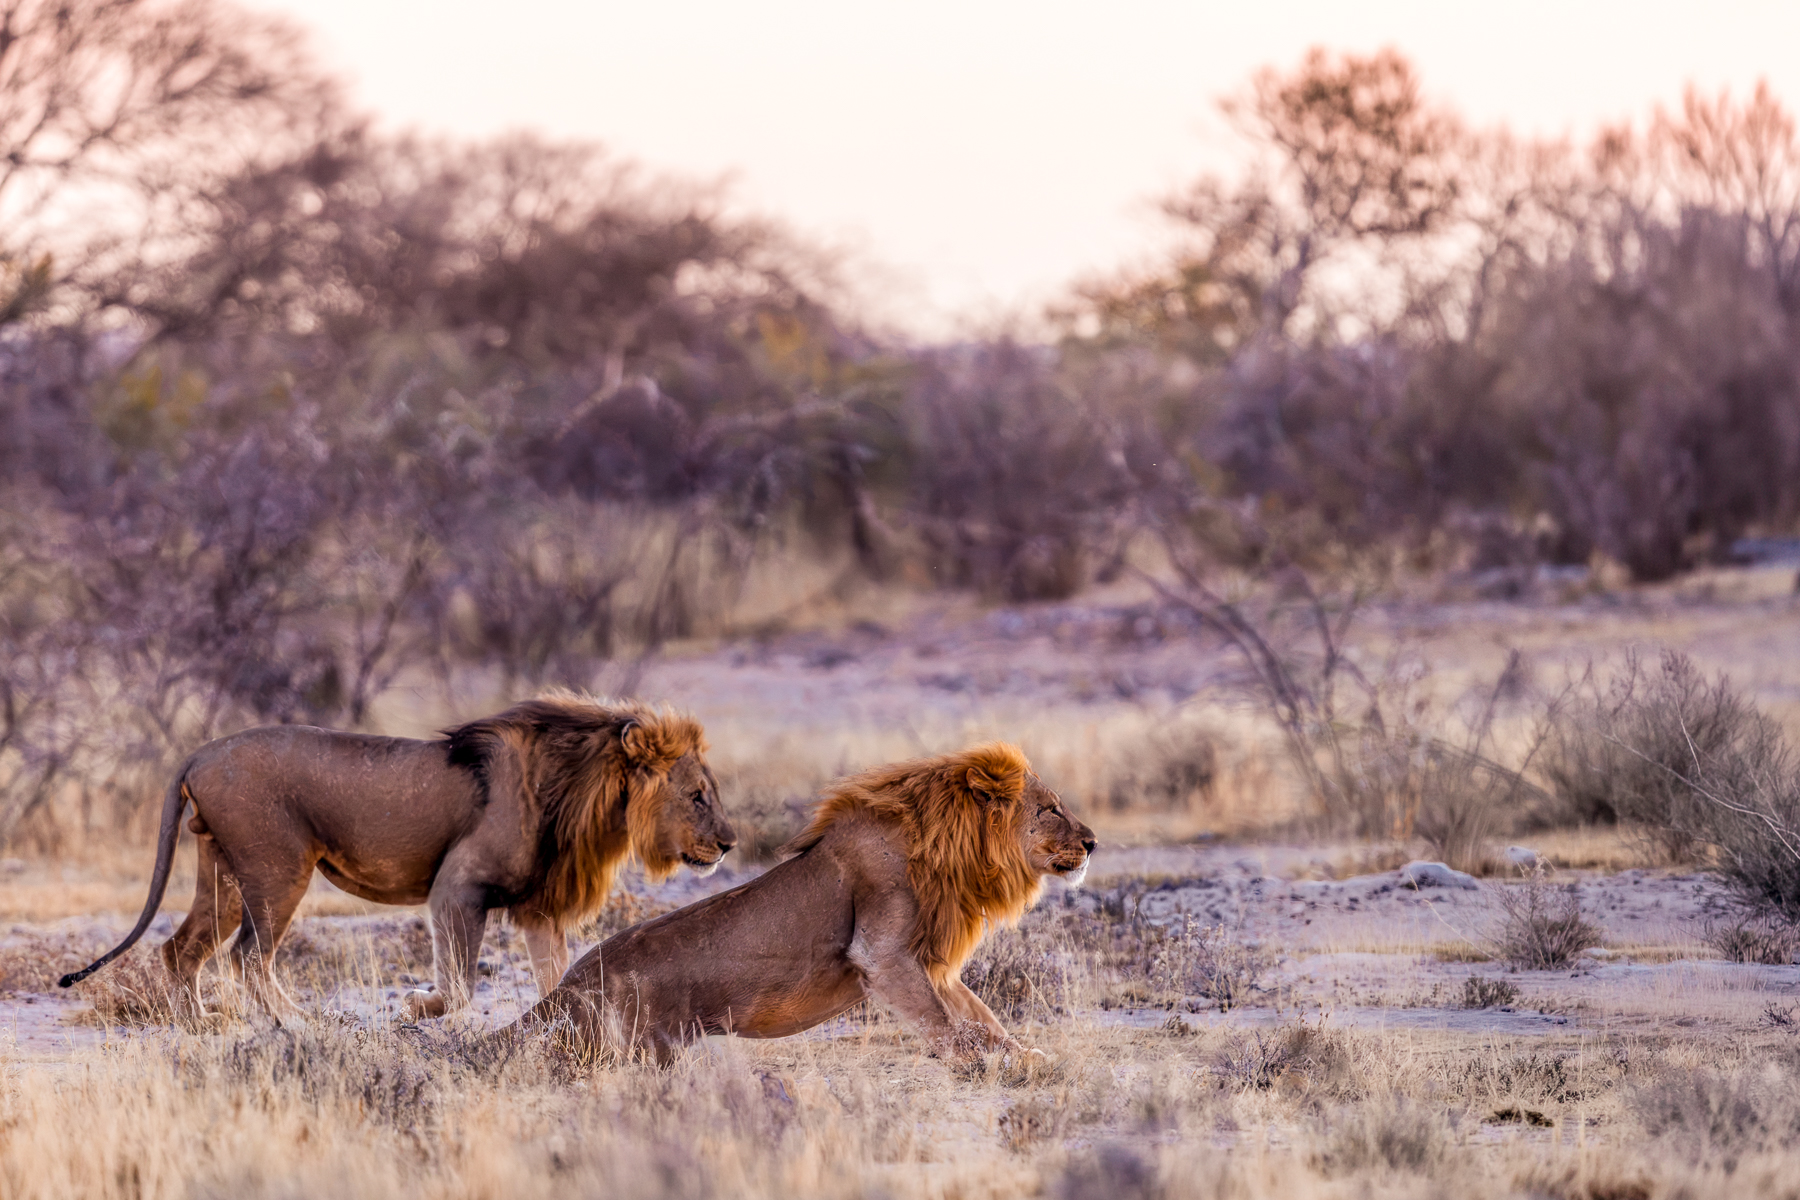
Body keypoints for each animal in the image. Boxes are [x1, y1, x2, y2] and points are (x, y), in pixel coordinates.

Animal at [59, 694, 737, 1024]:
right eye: (697, 795)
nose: (730, 843)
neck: (583, 794)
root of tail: (199, 752)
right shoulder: (458, 887)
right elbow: (459, 985)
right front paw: (418, 1005)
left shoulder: (541, 909)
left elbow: (557, 976)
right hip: (278, 871)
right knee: (248, 957)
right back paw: (299, 1025)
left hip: (221, 872)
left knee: (183, 949)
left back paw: (201, 1026)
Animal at [512, 742, 1094, 1063]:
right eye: (1050, 809)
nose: (1092, 842)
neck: (947, 852)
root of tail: (563, 991)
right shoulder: (882, 956)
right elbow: (946, 1023)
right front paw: (984, 1064)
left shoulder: (929, 961)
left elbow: (980, 1015)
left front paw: (1023, 1056)